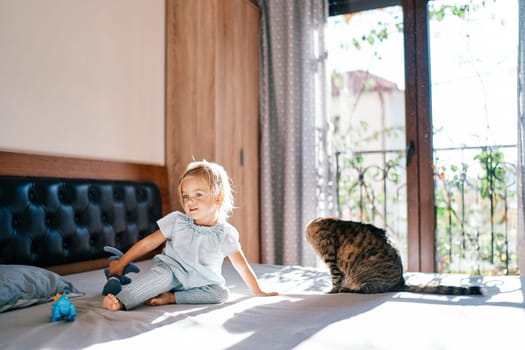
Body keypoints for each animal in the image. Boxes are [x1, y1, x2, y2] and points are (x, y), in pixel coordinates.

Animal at [304, 216, 482, 296]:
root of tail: (400, 282)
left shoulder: (332, 260)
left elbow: (335, 280)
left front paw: (332, 290)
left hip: (366, 277)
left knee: (364, 290)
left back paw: (348, 289)